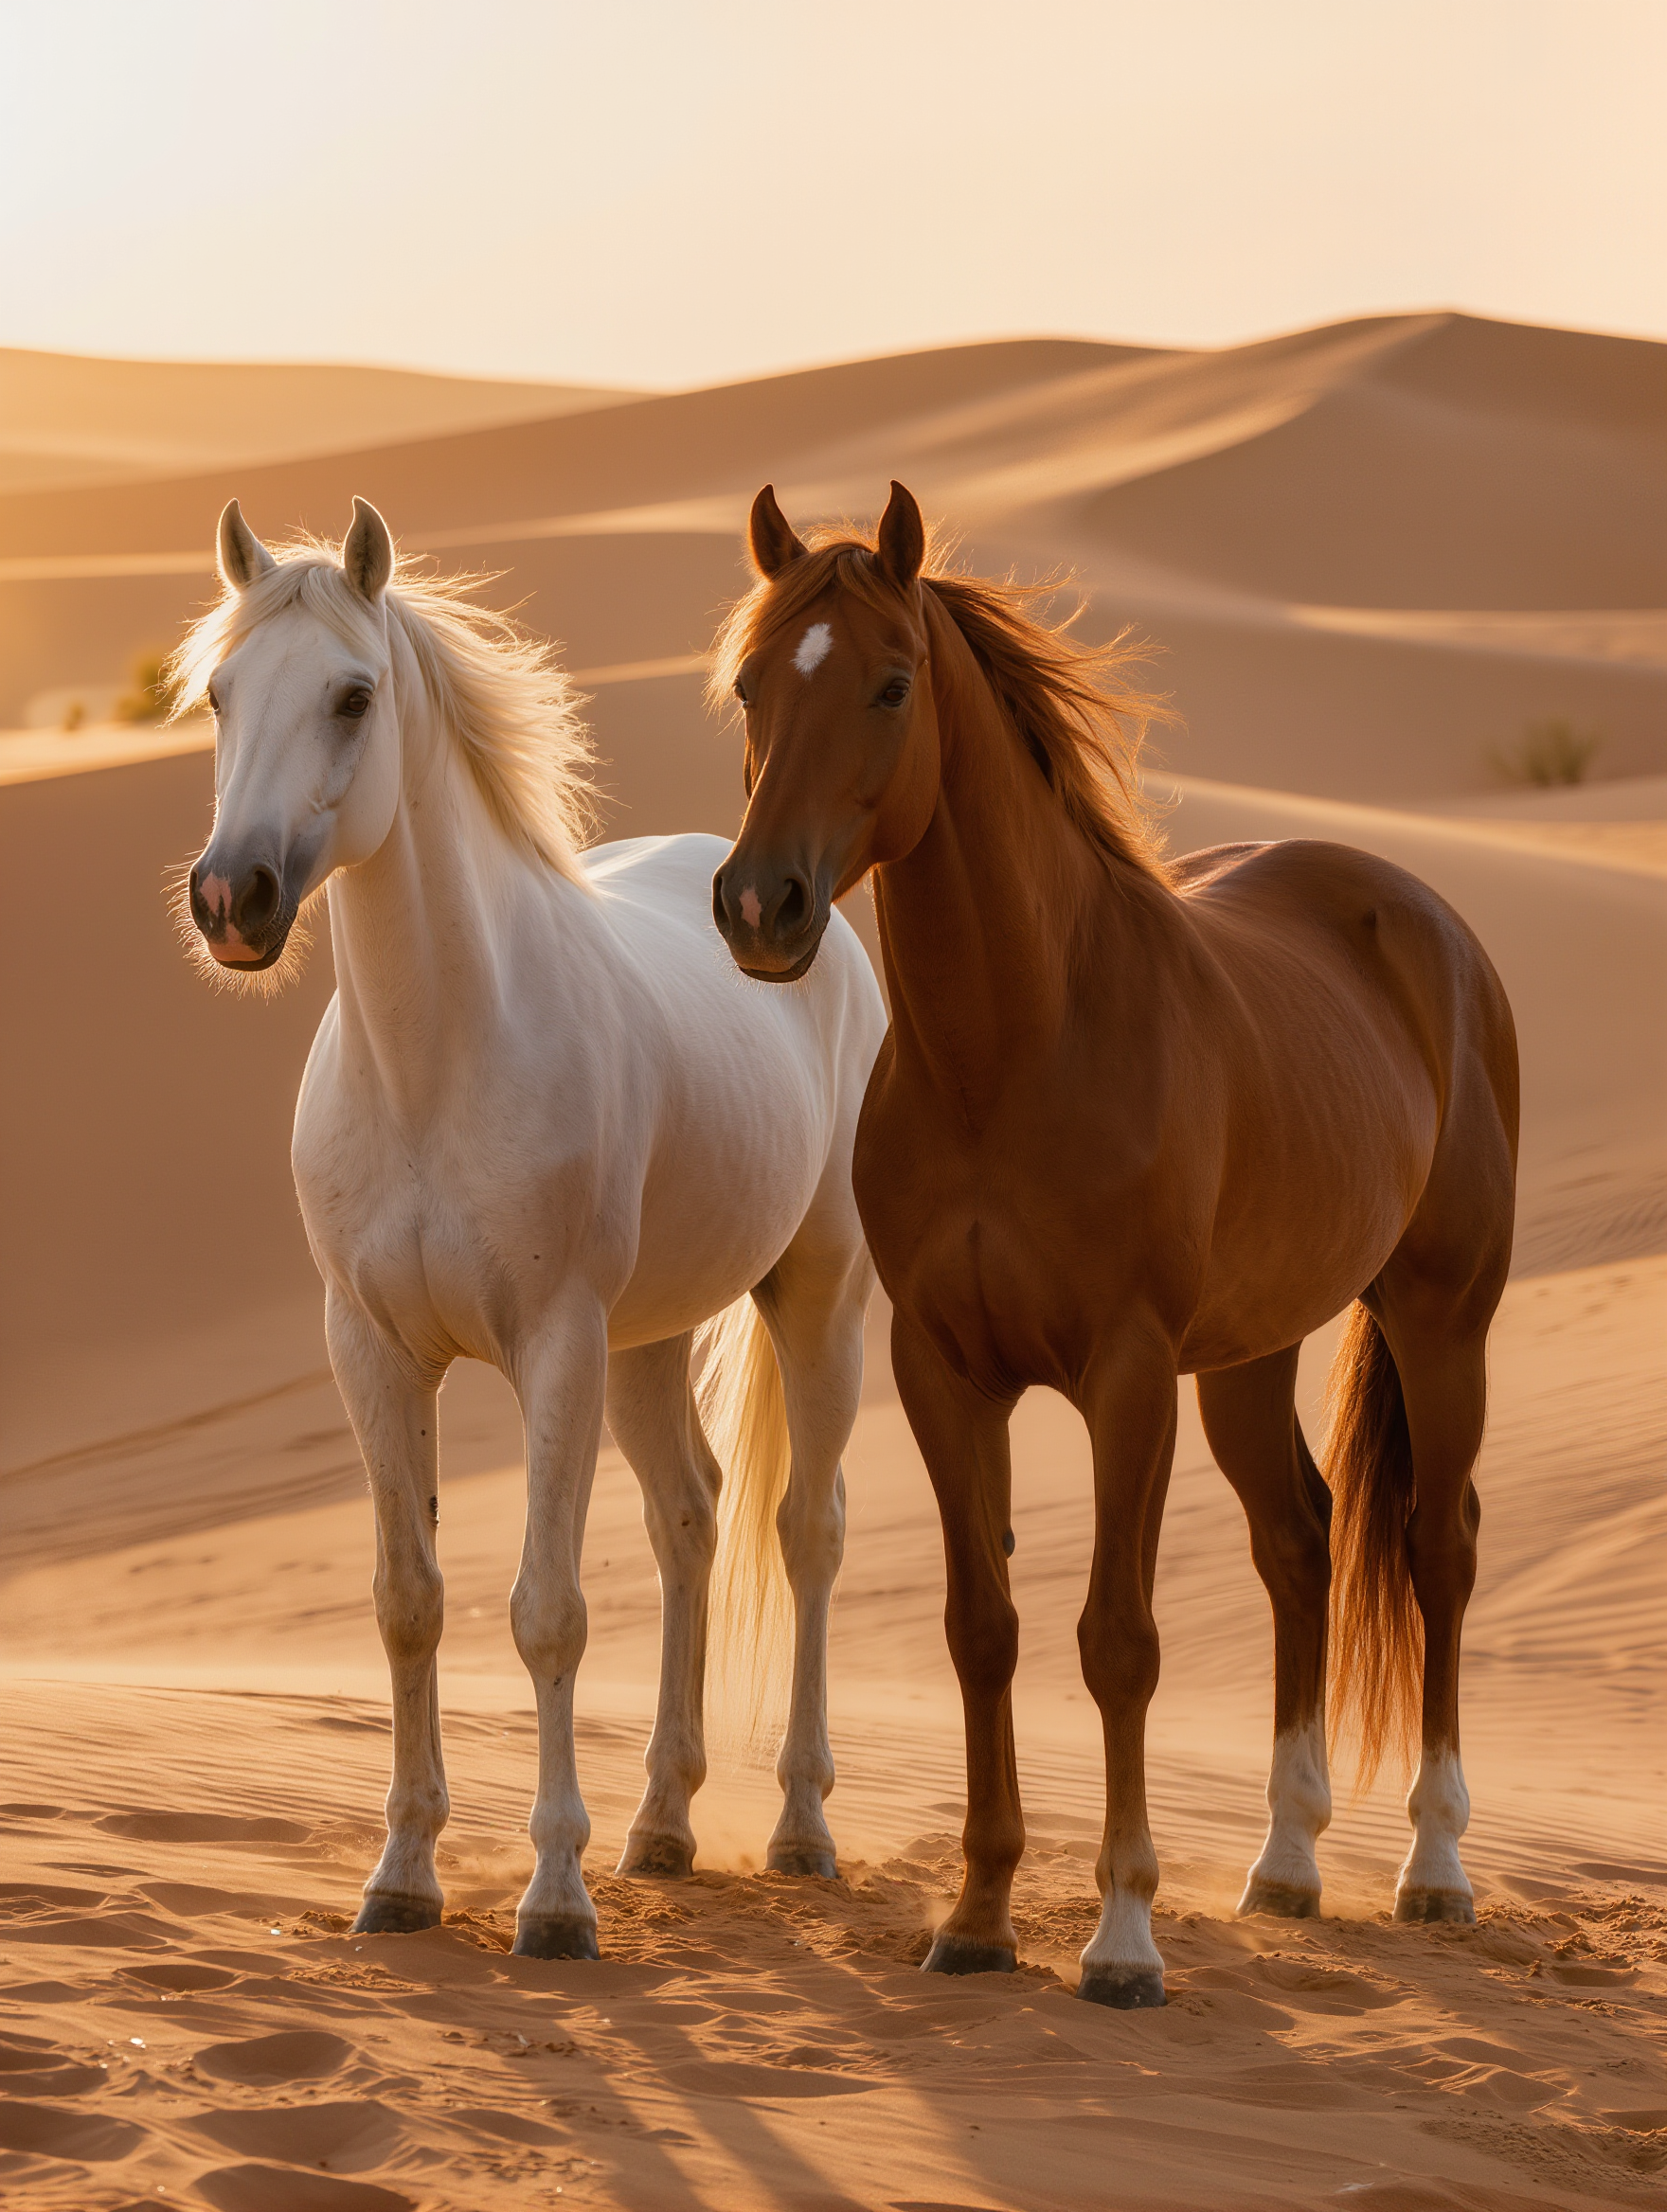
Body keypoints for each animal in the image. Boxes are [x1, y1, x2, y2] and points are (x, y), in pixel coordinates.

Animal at [172, 496, 886, 1958]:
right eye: (219, 694)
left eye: (352, 695)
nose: (231, 901)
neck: (436, 1065)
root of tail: (783, 906)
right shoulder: (372, 1351)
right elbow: (409, 1604)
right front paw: (401, 1877)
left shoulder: (554, 1346)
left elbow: (546, 1615)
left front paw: (554, 1899)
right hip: (648, 1339)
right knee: (691, 1521)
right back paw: (662, 1825)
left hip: (814, 1298)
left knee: (807, 1530)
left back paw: (798, 1828)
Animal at [708, 481, 1518, 2009]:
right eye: (748, 687)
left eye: (891, 684)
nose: (757, 907)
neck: (1017, 1049)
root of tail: (1424, 917)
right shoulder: (945, 1372)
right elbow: (983, 1630)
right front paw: (975, 1916)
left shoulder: (1127, 1376)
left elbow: (1116, 1641)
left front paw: (1123, 1936)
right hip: (1252, 1355)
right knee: (1299, 1541)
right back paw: (1286, 1862)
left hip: (1442, 1322)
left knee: (1435, 1547)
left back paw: (1432, 1864)